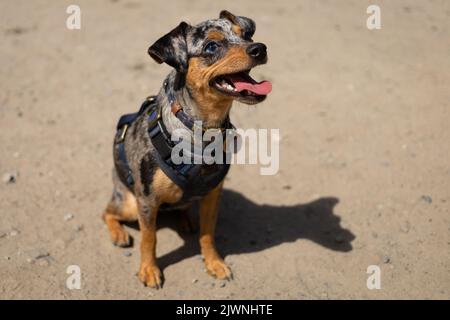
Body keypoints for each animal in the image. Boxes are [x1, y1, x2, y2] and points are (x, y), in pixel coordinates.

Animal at [101, 10, 270, 288]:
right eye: (211, 46)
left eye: (246, 35)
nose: (260, 48)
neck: (204, 130)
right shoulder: (146, 201)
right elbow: (149, 239)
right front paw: (149, 270)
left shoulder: (212, 195)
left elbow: (208, 234)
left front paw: (214, 263)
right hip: (128, 204)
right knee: (106, 212)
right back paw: (118, 233)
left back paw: (185, 219)